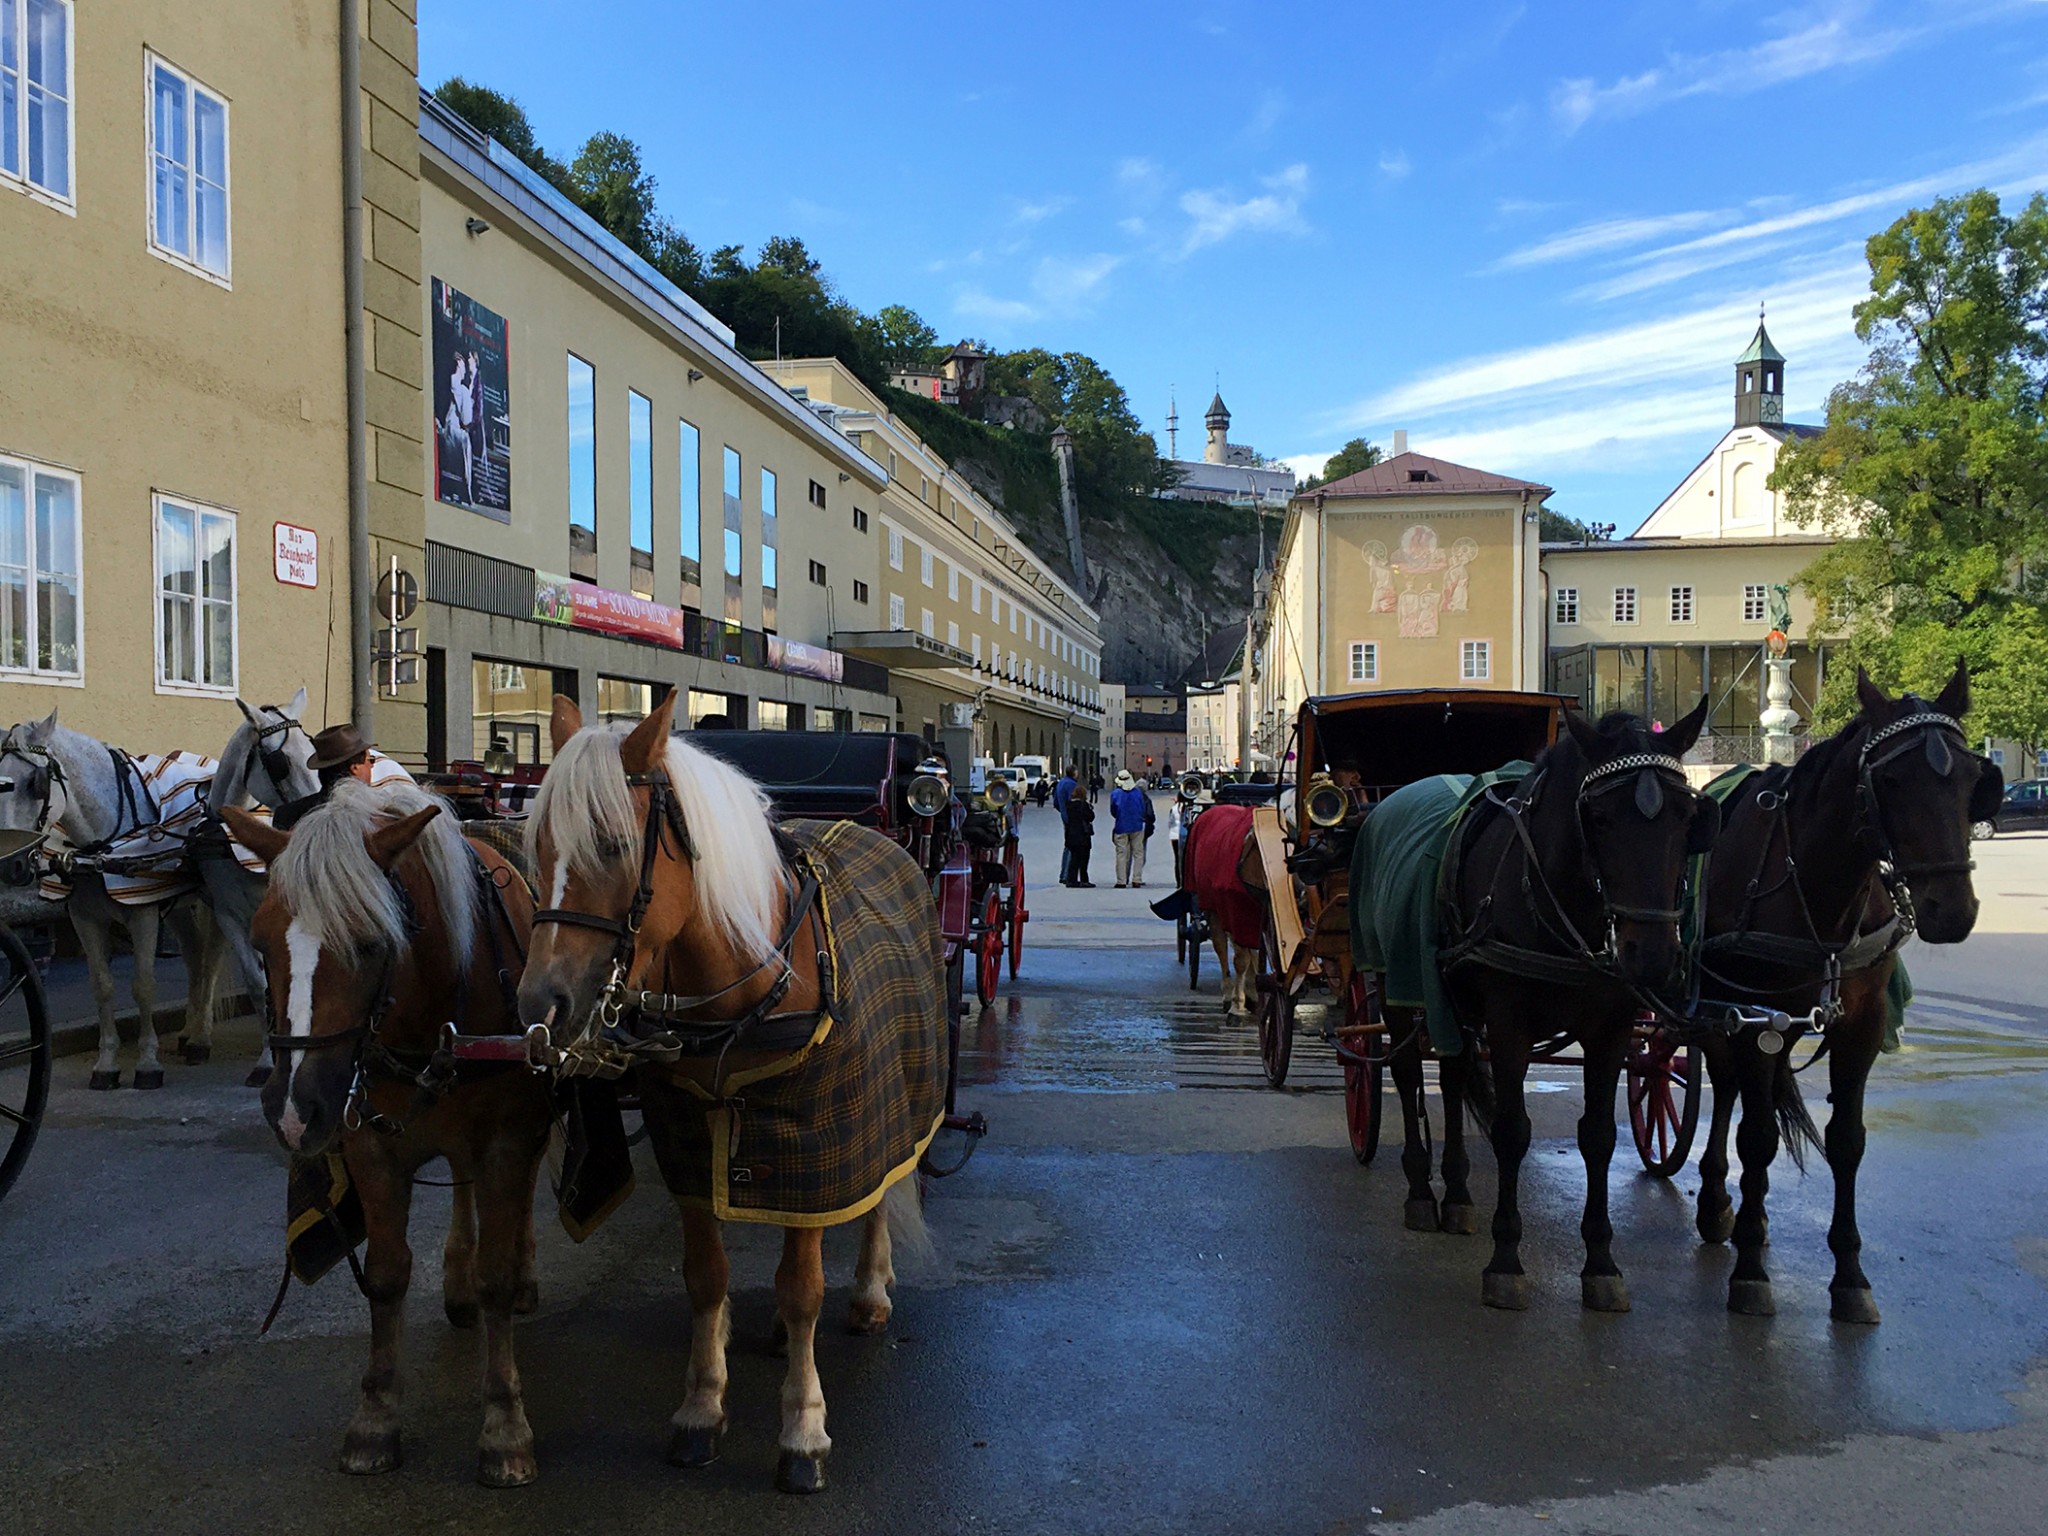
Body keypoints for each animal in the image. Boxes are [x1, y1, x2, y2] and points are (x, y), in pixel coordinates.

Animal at [0, 712, 233, 1089]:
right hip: (178, 906)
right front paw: (106, 1064)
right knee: (194, 957)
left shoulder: (143, 913)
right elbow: (103, 987)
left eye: (37, 782)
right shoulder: (84, 918)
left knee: (210, 959)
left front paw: (148, 1062)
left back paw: (201, 1038)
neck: (100, 848)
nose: (12, 864)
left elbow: (143, 986)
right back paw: (188, 1031)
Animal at [223, 786, 548, 1482]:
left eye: (372, 942)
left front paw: (504, 1420)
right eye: (261, 944)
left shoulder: (507, 1138)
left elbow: (498, 1275)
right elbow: (388, 1273)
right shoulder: (370, 1147)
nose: (294, 1108)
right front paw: (375, 1415)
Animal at [524, 696, 946, 1490]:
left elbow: (805, 1286)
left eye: (612, 844)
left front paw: (803, 1429)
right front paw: (701, 1405)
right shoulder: (692, 1142)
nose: (541, 1002)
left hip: (886, 1100)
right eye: (534, 844)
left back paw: (870, 1291)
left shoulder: (821, 1134)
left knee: (878, 1190)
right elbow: (706, 1276)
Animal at [1368, 704, 1720, 1318]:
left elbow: (1598, 1136)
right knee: (1409, 1073)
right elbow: (1512, 1132)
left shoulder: (1610, 1031)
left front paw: (1601, 1263)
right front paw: (1506, 1259)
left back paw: (1457, 1194)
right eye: (1598, 817)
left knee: (1453, 1077)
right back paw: (1420, 1191)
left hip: (1454, 1005)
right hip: (1396, 987)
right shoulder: (1508, 1026)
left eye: (1686, 818)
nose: (1653, 957)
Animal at [1695, 663, 1998, 1327]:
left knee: (1732, 1093)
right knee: (1729, 1090)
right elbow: (1758, 1137)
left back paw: (1729, 1205)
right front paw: (1751, 1271)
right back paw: (1722, 1203)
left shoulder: (1860, 1025)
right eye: (1889, 779)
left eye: (1973, 779)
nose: (1951, 911)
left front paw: (1850, 1275)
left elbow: (1847, 1143)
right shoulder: (1757, 1020)